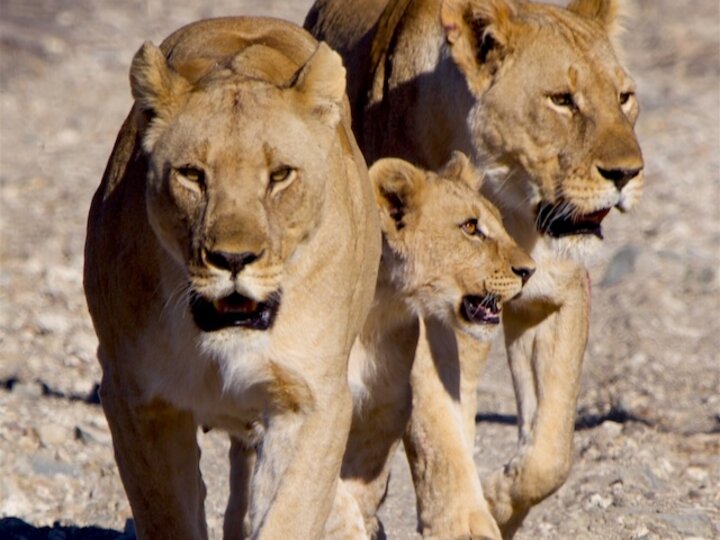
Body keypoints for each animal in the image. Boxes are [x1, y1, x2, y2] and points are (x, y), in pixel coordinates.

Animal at [83, 17, 382, 540]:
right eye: (192, 175)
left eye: (280, 176)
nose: (233, 259)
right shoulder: (134, 395)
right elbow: (168, 516)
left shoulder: (312, 401)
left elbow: (289, 515)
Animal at [342, 150, 536, 536]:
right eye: (471, 228)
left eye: (499, 223)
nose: (529, 270)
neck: (379, 303)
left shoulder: (384, 403)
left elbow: (361, 483)